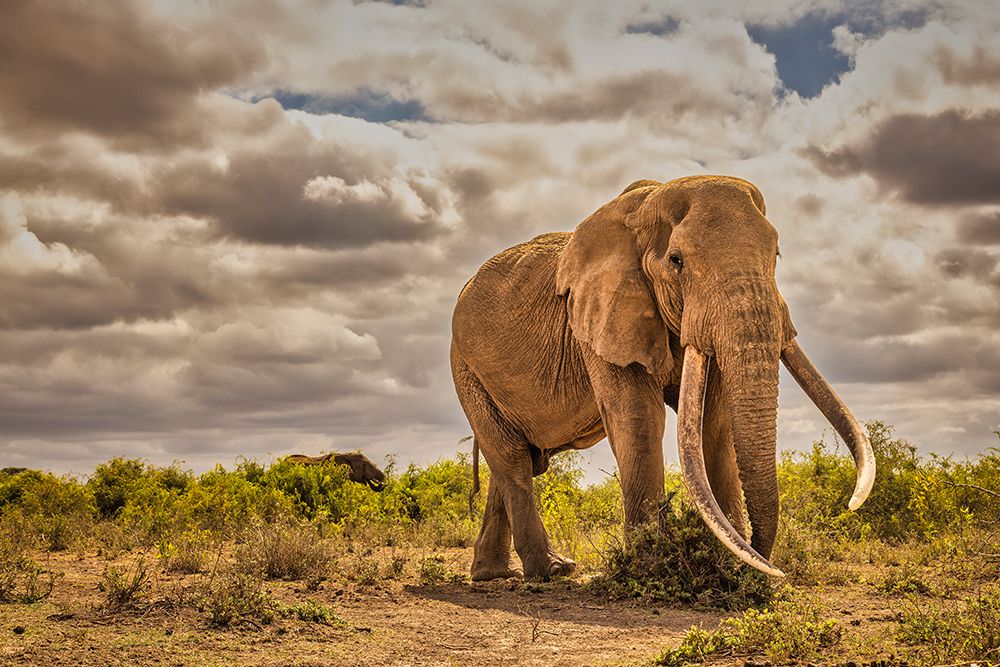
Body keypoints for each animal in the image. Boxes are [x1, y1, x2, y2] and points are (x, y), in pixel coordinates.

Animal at [454, 175, 876, 580]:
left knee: (520, 458)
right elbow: (639, 419)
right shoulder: (601, 318)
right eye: (676, 261)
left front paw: (730, 567)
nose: (767, 565)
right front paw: (649, 565)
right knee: (512, 460)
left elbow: (713, 424)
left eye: (776, 255)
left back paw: (496, 573)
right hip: (465, 368)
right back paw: (552, 570)